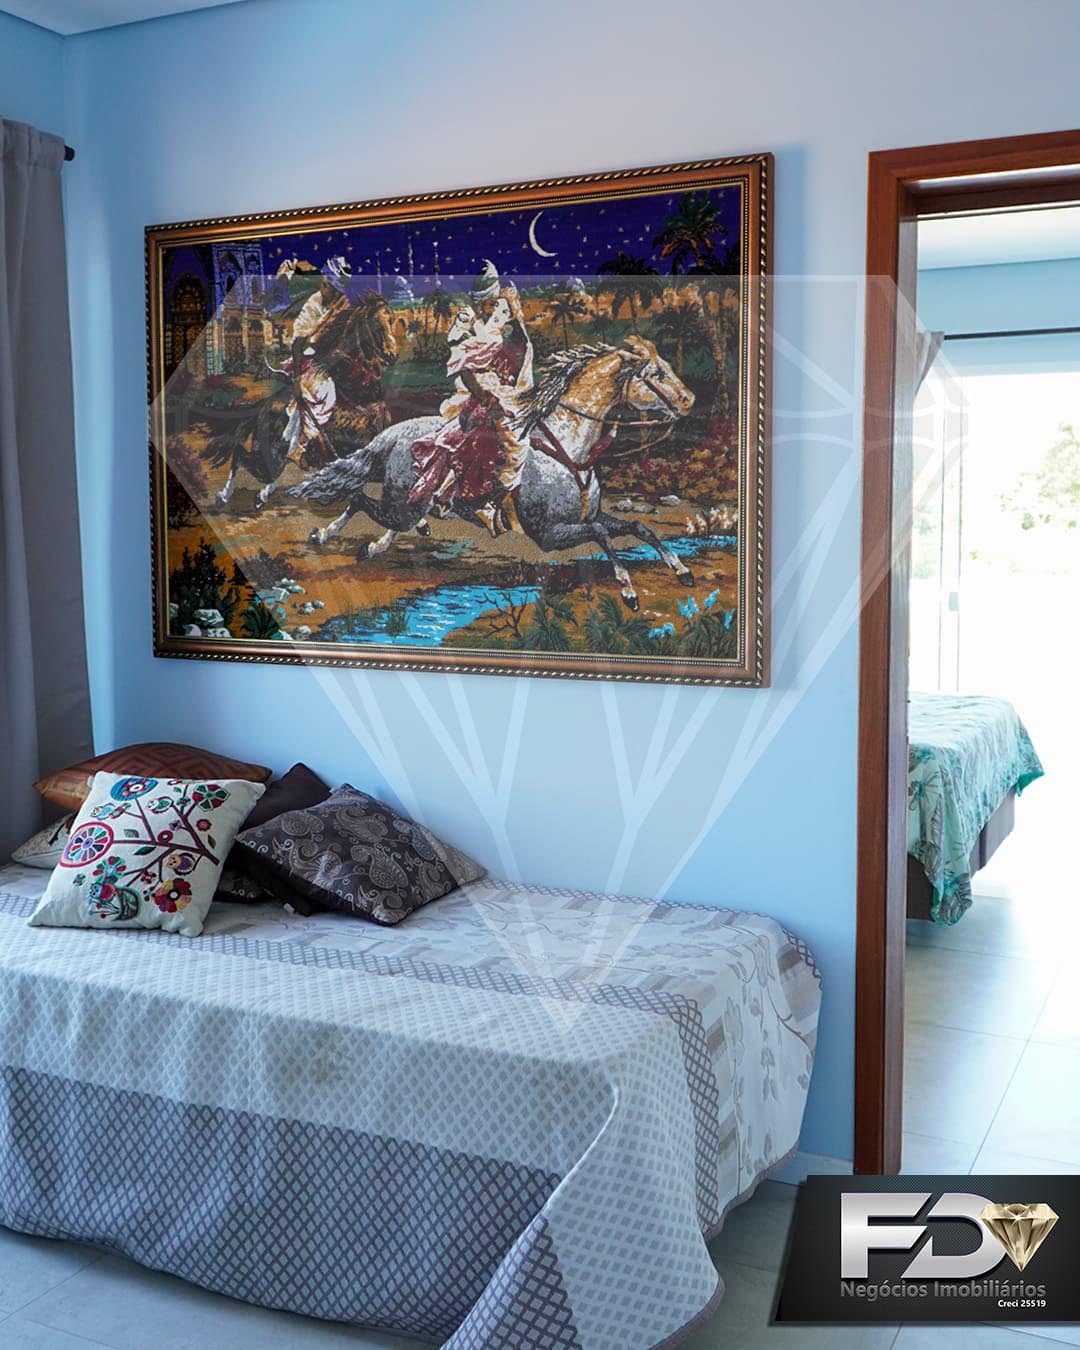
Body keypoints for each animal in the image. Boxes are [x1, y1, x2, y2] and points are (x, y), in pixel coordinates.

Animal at [204, 291, 397, 510]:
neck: (356, 392)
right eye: (377, 324)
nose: (392, 355)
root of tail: (263, 408)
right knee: (240, 455)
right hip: (270, 456)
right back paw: (225, 496)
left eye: (392, 320)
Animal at [290, 336, 696, 611]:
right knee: (360, 498)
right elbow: (602, 534)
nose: (690, 400)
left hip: (408, 503)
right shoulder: (549, 534)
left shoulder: (589, 515)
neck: (568, 451)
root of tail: (393, 434)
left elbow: (638, 528)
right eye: (656, 373)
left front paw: (681, 570)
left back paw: (378, 543)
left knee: (386, 513)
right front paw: (628, 590)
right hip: (400, 504)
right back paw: (325, 535)